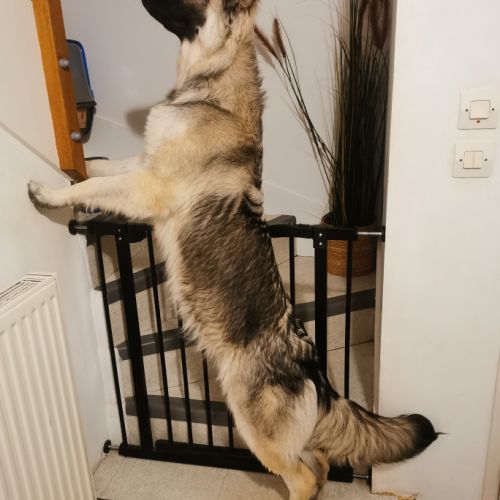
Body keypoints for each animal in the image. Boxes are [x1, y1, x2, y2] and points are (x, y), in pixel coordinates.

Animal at [29, 1, 437, 498]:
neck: (213, 87)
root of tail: (313, 368)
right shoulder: (141, 164)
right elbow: (97, 168)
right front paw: (74, 164)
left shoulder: (148, 184)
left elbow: (91, 185)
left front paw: (49, 191)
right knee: (319, 463)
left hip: (251, 424)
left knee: (303, 476)